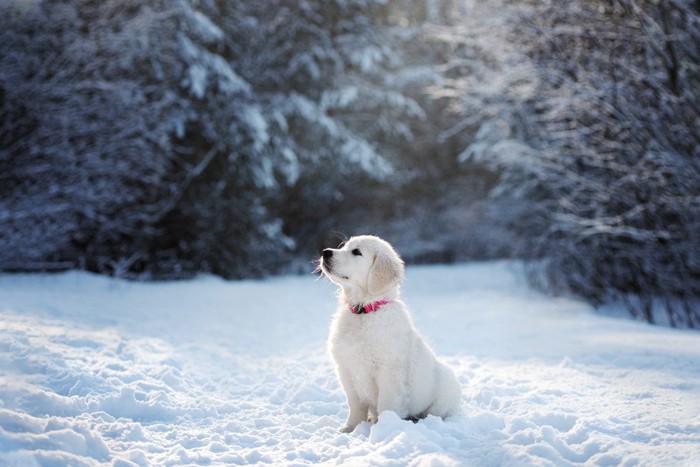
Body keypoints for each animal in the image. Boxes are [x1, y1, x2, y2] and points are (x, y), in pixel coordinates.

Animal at [320, 236, 462, 434]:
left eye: (356, 252)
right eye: (343, 246)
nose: (325, 252)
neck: (364, 310)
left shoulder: (389, 372)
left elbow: (386, 404)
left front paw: (385, 429)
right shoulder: (347, 370)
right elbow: (355, 405)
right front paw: (351, 428)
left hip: (445, 391)